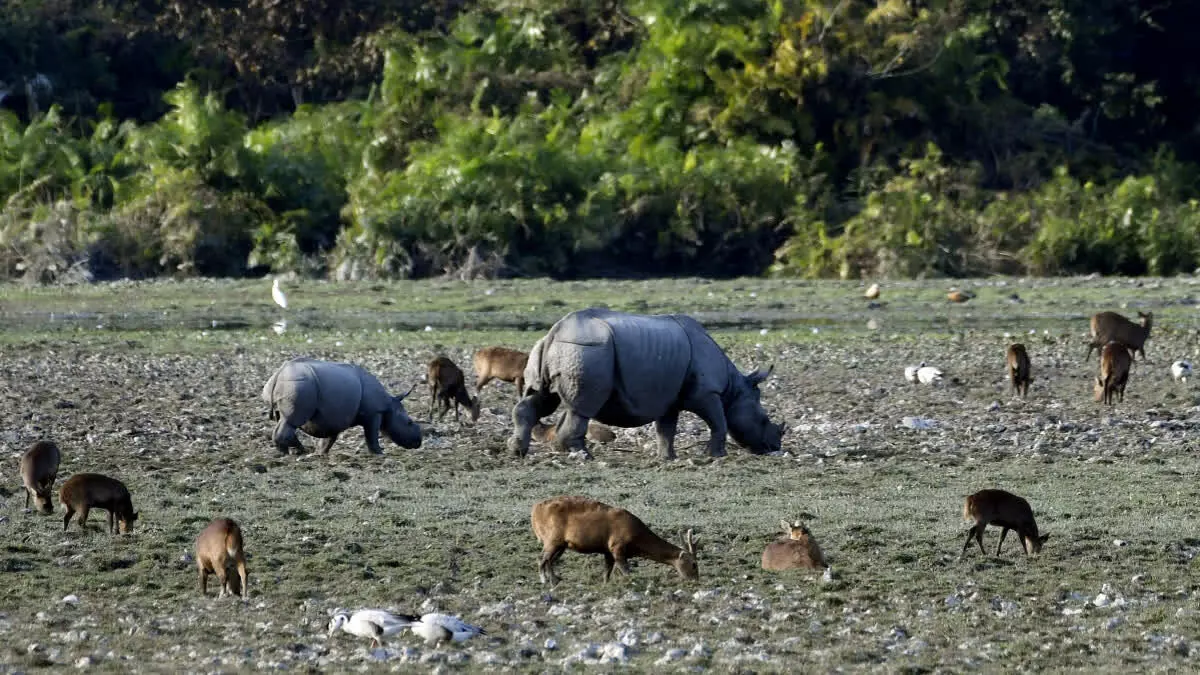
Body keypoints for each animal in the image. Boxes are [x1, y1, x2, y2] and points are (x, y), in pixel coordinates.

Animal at [530, 494, 700, 583]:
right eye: (694, 564)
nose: (696, 580)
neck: (637, 539)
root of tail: (534, 511)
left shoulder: (607, 550)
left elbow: (607, 572)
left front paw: (605, 583)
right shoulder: (617, 545)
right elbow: (625, 570)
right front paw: (632, 582)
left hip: (561, 544)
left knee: (549, 560)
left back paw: (555, 579)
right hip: (552, 538)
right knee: (541, 558)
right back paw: (545, 580)